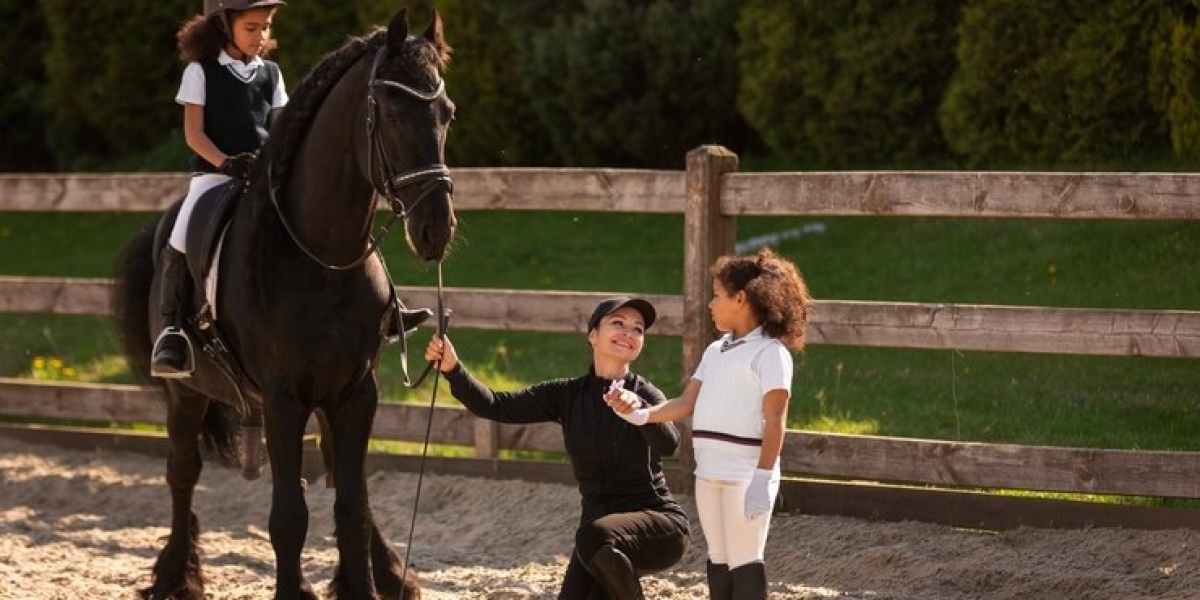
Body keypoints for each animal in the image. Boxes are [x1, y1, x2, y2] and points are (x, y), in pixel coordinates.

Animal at [111, 7, 455, 599]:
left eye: (446, 113)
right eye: (390, 112)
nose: (436, 229)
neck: (320, 256)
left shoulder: (356, 392)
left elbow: (352, 506)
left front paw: (363, 583)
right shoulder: (283, 396)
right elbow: (289, 516)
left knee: (338, 479)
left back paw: (389, 572)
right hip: (186, 394)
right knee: (182, 473)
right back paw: (175, 575)